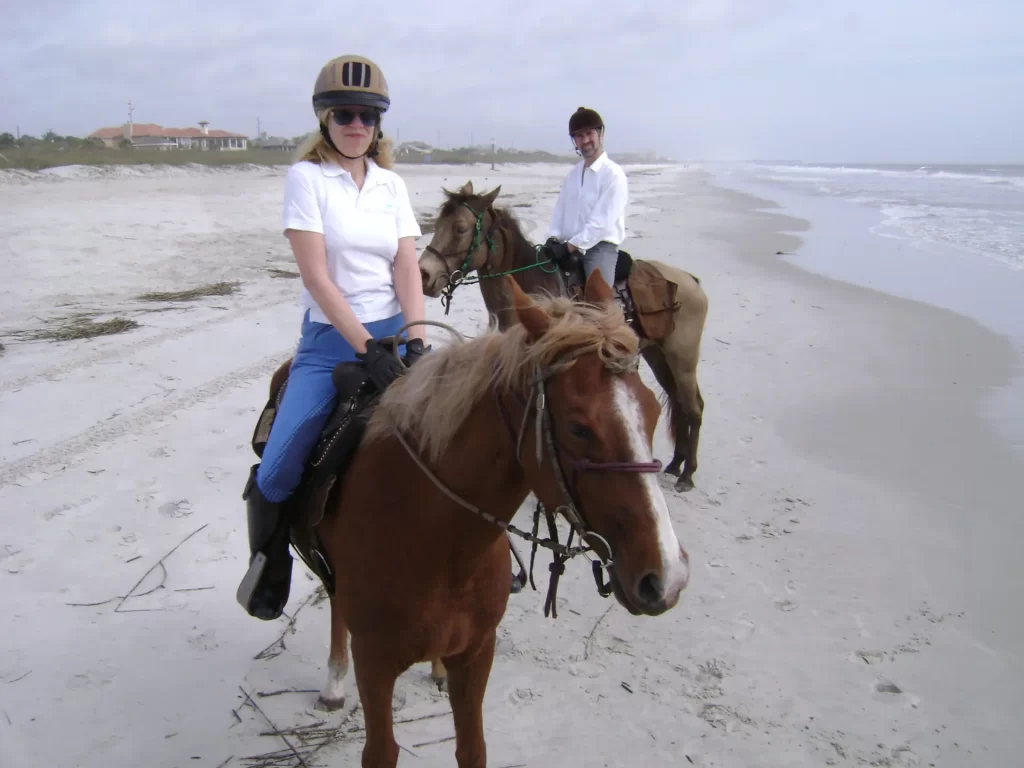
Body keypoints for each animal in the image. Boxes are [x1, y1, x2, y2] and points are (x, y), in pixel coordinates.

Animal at [276, 274, 688, 768]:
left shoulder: (477, 653)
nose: (668, 577)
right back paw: (334, 682)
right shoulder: (374, 662)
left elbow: (472, 749)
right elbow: (381, 751)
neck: (437, 542)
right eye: (578, 428)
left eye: (653, 411)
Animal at [419, 183, 708, 489]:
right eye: (437, 225)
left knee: (694, 407)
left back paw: (687, 474)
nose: (424, 275)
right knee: (678, 401)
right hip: (658, 355)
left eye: (461, 228)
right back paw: (676, 463)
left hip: (683, 358)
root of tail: (690, 280)